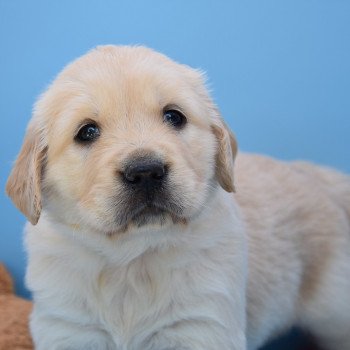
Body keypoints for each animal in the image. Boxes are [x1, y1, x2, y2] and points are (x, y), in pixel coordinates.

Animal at [5, 46, 350, 350]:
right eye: (87, 132)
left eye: (174, 116)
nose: (145, 171)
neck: (131, 262)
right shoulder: (67, 326)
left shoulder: (202, 325)